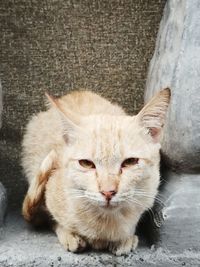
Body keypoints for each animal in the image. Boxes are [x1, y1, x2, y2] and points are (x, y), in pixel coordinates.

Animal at [22, 89, 171, 256]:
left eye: (130, 162)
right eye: (86, 163)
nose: (108, 192)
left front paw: (126, 237)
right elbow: (51, 218)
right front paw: (69, 234)